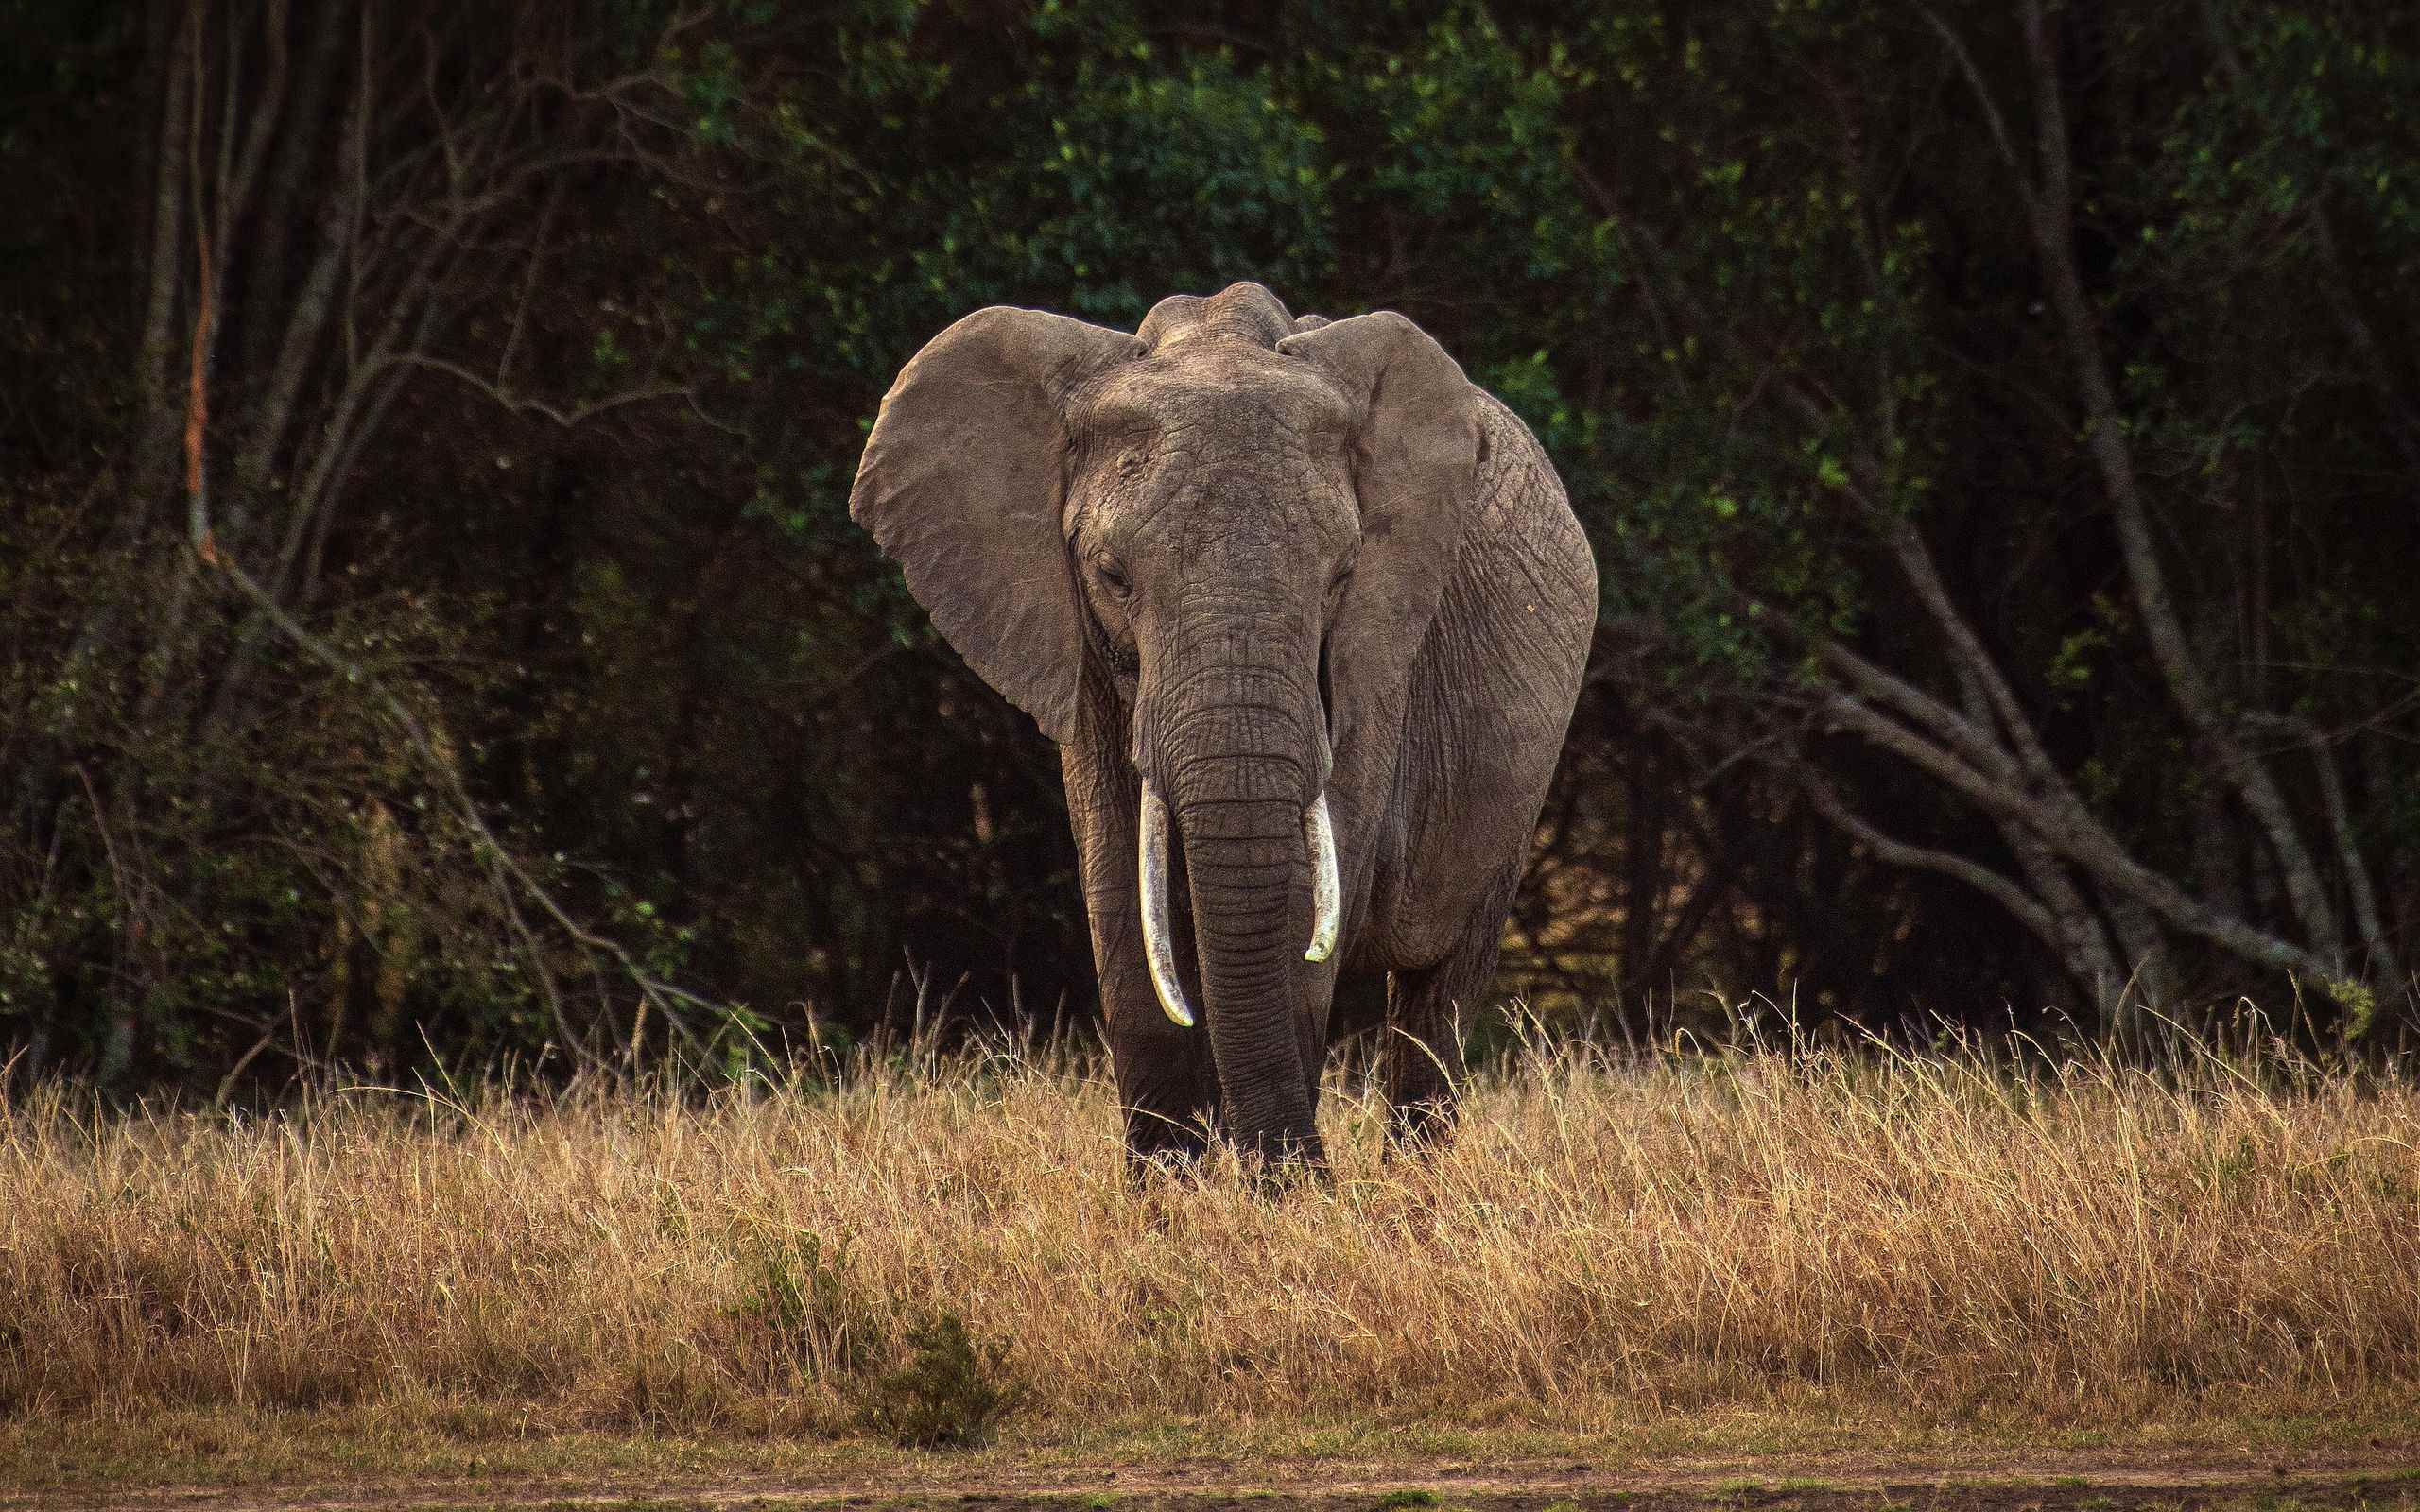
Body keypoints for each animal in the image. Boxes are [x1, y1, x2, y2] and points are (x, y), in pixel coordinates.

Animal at [841, 280, 1597, 1165]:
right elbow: (1119, 898)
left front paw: (1274, 1191)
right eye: (1112, 575)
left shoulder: (1375, 660)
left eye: (1342, 576)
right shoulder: (1079, 651)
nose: (1304, 1172)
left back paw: (1414, 1179)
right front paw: (1172, 1191)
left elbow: (1303, 903)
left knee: (1440, 990)